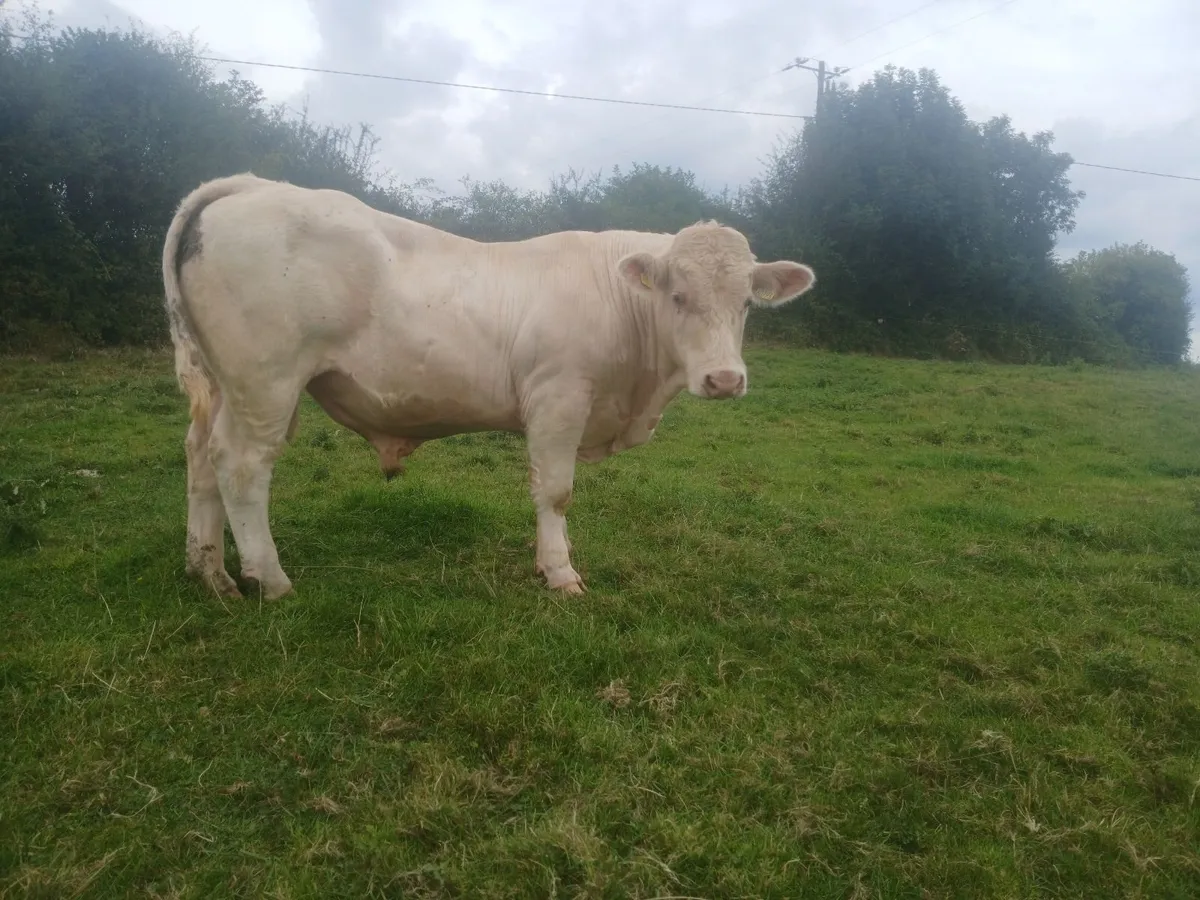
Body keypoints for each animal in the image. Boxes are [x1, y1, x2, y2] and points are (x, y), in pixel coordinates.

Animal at [162, 174, 815, 600]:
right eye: (677, 296)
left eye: (746, 303)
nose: (724, 379)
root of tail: (249, 185)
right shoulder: (559, 397)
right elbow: (556, 491)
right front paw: (559, 573)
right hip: (266, 381)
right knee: (242, 466)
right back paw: (269, 579)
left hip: (223, 384)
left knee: (201, 458)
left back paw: (209, 572)